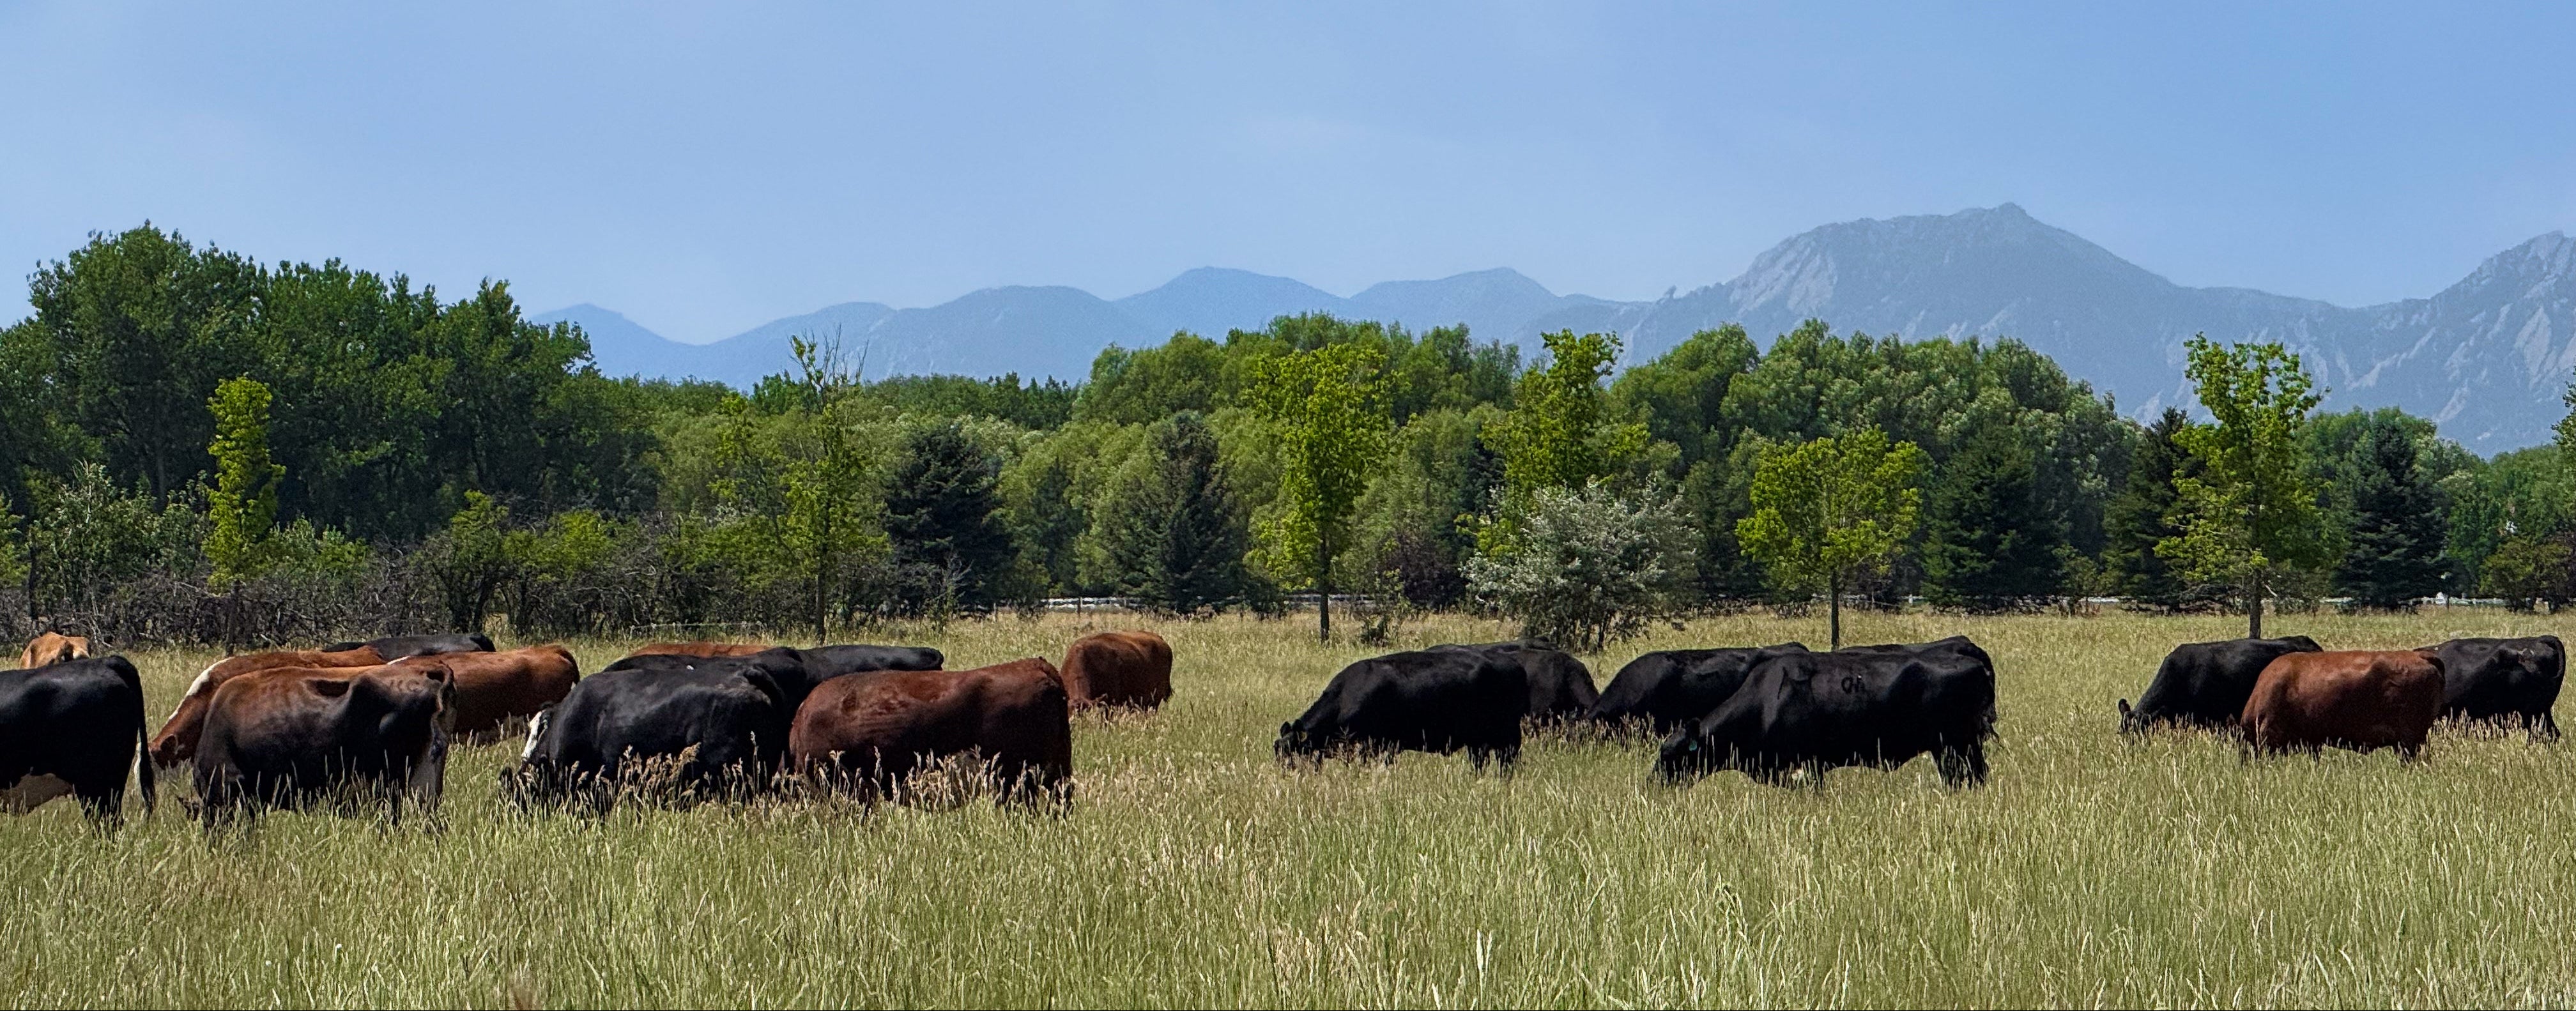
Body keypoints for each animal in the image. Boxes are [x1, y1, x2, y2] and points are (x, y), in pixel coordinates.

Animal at [1276, 649, 1526, 771]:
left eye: (1293, 754)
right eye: (1278, 752)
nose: (1286, 775)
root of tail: (1513, 664)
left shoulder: (1377, 747)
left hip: (1509, 739)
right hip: (1478, 743)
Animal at [1658, 637, 1998, 788]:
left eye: (1669, 755)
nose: (1653, 785)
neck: (1764, 704)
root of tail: (1970, 656)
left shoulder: (1809, 766)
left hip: (1957, 744)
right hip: (1954, 747)